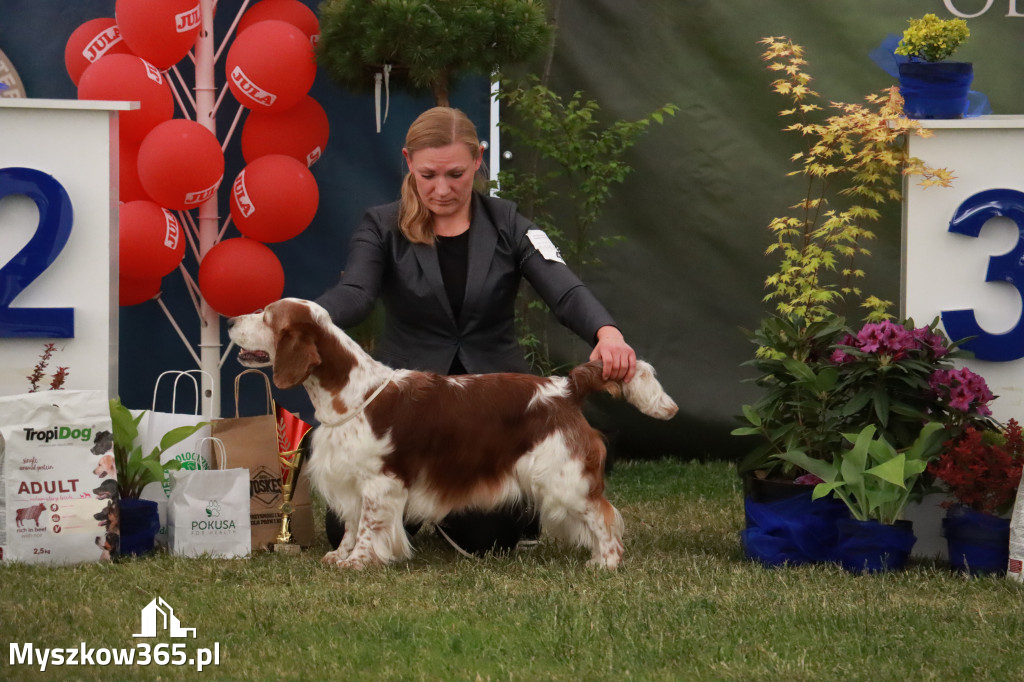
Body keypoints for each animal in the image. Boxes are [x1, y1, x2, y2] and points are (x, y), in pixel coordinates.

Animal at [232, 296, 679, 569]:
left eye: (267, 315)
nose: (233, 319)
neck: (352, 393)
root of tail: (566, 387)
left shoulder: (380, 482)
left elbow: (369, 526)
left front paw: (358, 562)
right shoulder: (351, 479)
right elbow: (352, 524)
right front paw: (340, 557)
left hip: (563, 477)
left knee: (604, 515)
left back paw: (605, 562)